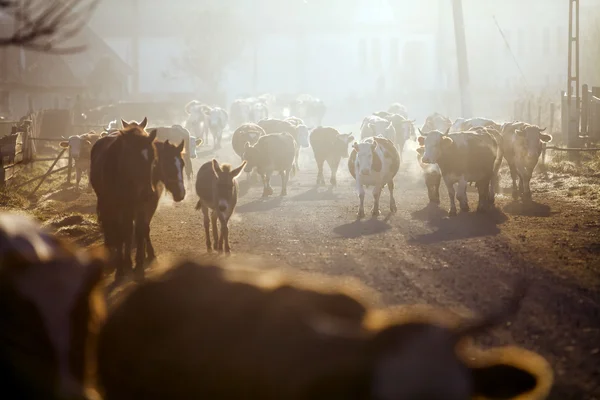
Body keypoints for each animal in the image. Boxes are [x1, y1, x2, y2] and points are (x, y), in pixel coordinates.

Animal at [89, 117, 158, 282]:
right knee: (117, 229)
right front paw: (120, 269)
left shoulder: (139, 206)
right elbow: (120, 233)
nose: (148, 193)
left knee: (128, 230)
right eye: (133, 159)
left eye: (152, 158)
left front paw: (138, 266)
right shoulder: (115, 207)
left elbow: (139, 230)